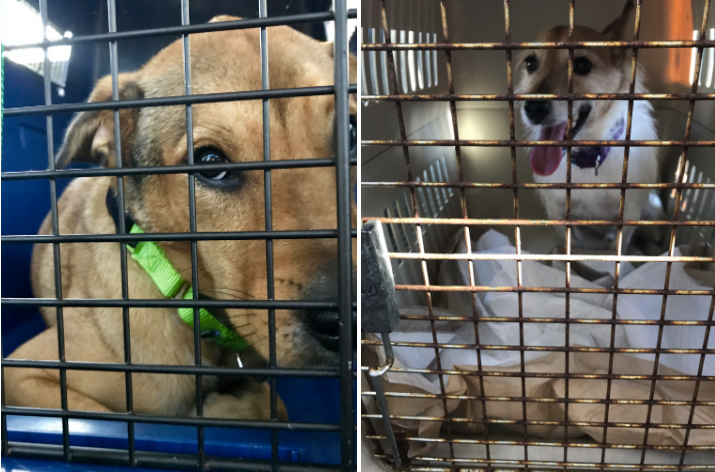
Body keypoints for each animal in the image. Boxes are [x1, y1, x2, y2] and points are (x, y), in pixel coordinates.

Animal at [516, 0, 664, 254]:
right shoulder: (557, 211)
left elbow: (617, 247)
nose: (533, 108)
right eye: (530, 63)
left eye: (583, 65)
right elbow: (573, 241)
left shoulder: (629, 214)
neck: (587, 158)